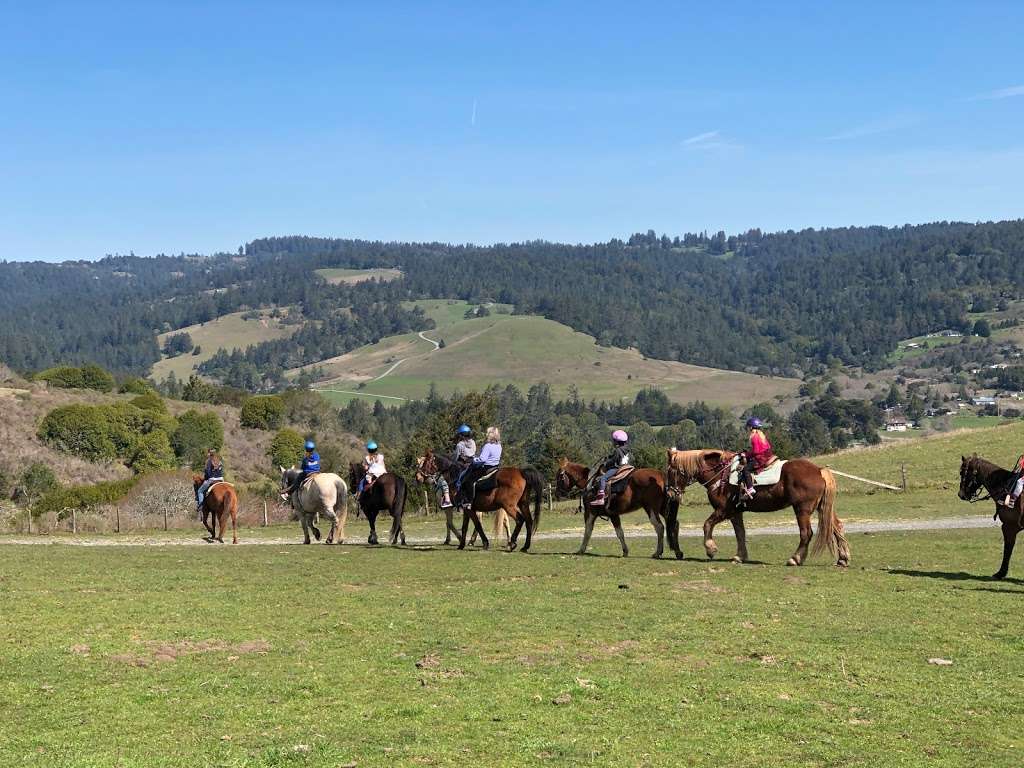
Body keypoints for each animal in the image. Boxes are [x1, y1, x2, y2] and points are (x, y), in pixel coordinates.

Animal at [666, 448, 849, 567]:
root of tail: (819, 471)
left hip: (802, 510)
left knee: (806, 533)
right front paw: (740, 556)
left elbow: (707, 525)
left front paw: (711, 549)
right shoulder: (735, 512)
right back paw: (843, 558)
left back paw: (795, 559)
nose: (670, 493)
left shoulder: (723, 510)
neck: (721, 475)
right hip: (822, 508)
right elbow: (740, 533)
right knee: (837, 527)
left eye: (670, 472)